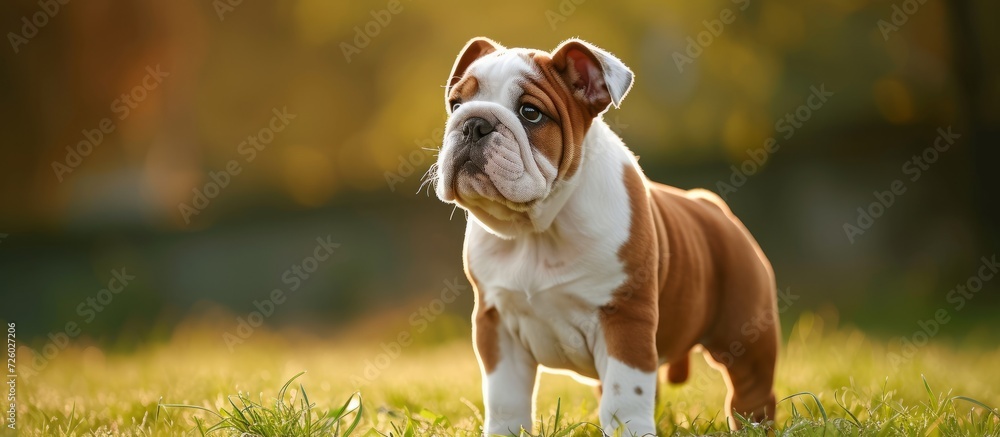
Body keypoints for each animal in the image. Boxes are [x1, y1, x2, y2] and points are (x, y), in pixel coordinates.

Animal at [430, 36, 780, 432]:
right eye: (456, 104)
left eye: (530, 113)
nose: (473, 123)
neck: (538, 229)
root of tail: (715, 208)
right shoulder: (496, 325)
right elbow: (506, 399)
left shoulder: (625, 316)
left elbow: (625, 395)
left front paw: (632, 431)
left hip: (745, 335)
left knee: (751, 391)